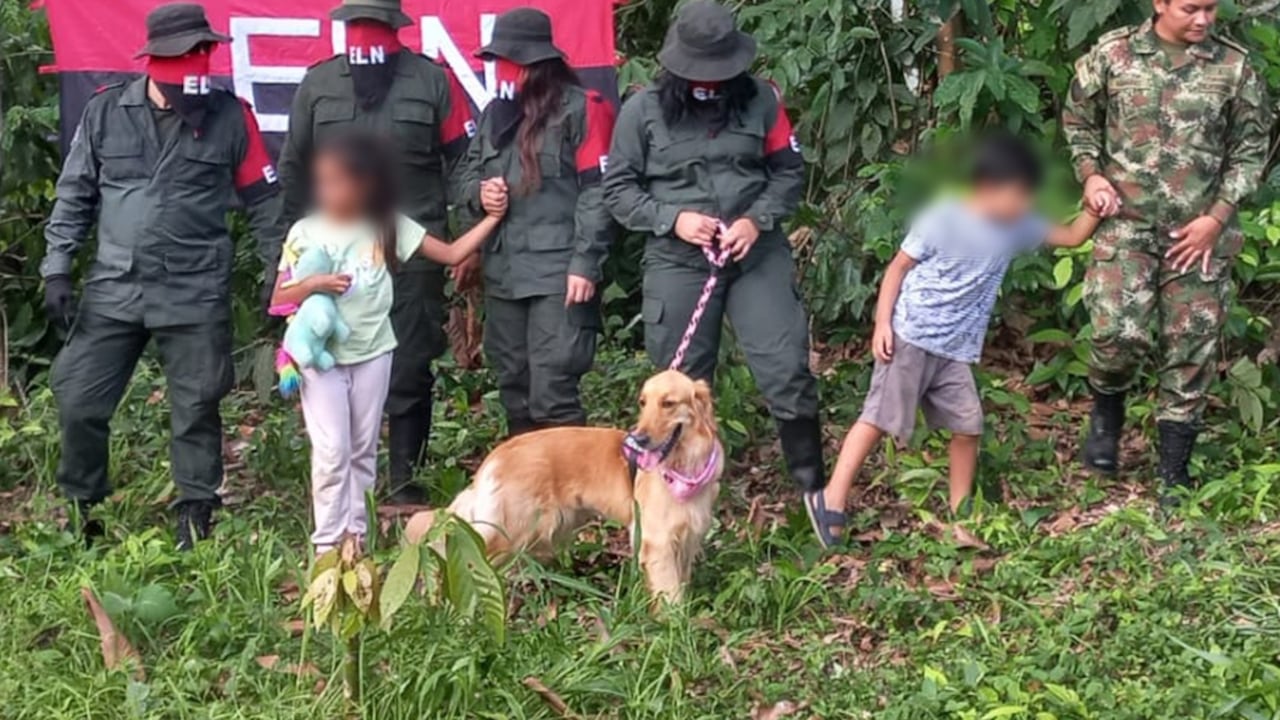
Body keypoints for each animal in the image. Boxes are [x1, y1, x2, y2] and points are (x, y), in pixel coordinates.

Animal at [404, 368, 721, 599]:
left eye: (668, 403)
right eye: (643, 403)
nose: (638, 439)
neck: (684, 466)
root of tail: (497, 455)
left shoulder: (687, 538)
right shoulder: (657, 541)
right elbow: (670, 593)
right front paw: (674, 625)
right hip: (515, 531)